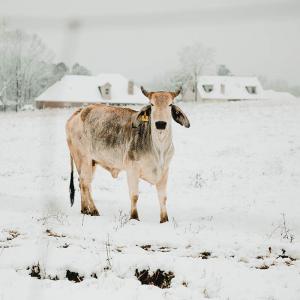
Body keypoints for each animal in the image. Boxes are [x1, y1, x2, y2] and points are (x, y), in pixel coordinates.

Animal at [65, 86, 190, 223]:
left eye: (170, 104)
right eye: (152, 104)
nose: (160, 124)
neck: (158, 150)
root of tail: (79, 112)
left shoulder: (164, 171)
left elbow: (163, 197)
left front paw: (164, 220)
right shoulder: (132, 170)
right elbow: (134, 195)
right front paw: (134, 217)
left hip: (91, 162)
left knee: (82, 182)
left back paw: (84, 209)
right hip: (83, 159)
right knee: (85, 183)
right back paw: (93, 210)